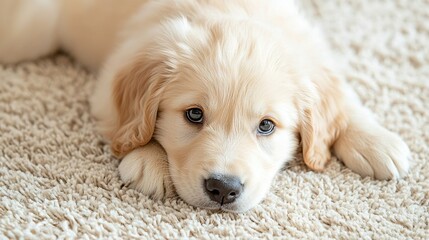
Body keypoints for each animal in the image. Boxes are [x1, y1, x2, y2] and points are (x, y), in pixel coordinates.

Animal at [0, 0, 408, 213]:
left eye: (266, 125)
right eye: (194, 114)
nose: (223, 189)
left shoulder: (315, 52)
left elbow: (341, 96)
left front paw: (377, 142)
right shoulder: (112, 76)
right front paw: (149, 160)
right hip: (31, 32)